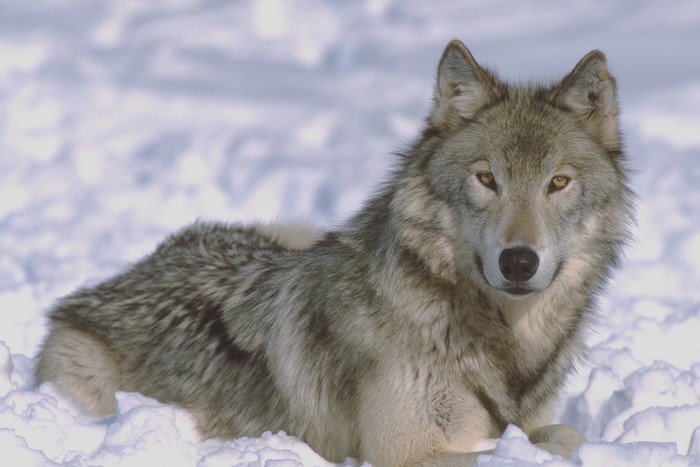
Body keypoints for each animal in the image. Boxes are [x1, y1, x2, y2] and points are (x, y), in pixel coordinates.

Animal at [36, 40, 634, 466]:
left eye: (558, 182)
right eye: (487, 179)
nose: (518, 261)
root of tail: (121, 277)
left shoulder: (526, 419)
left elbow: (560, 432)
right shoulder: (407, 453)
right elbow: (549, 444)